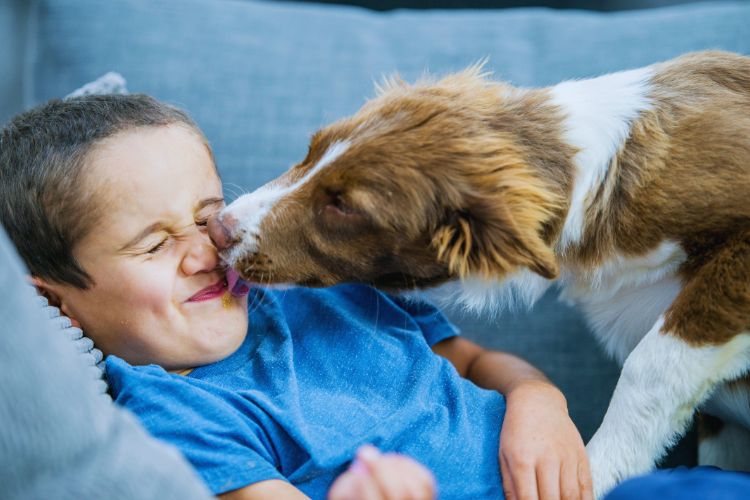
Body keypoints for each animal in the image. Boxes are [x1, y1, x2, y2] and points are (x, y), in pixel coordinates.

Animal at [209, 50, 750, 496]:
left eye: (343, 206)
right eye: (311, 150)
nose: (217, 227)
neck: (589, 185)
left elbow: (652, 361)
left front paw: (595, 470)